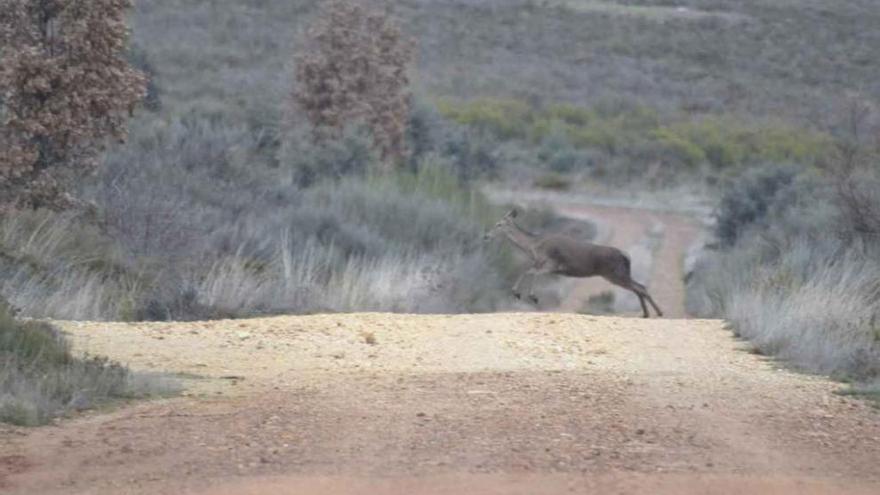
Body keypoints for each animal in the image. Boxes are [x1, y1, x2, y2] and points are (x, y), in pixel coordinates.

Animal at [484, 208, 664, 318]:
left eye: (499, 224)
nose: (486, 236)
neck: (533, 246)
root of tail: (625, 256)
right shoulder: (546, 266)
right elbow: (528, 271)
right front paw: (522, 294)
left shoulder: (551, 264)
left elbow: (528, 272)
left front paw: (527, 295)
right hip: (619, 274)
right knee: (640, 287)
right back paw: (647, 314)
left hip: (615, 273)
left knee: (640, 287)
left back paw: (658, 312)